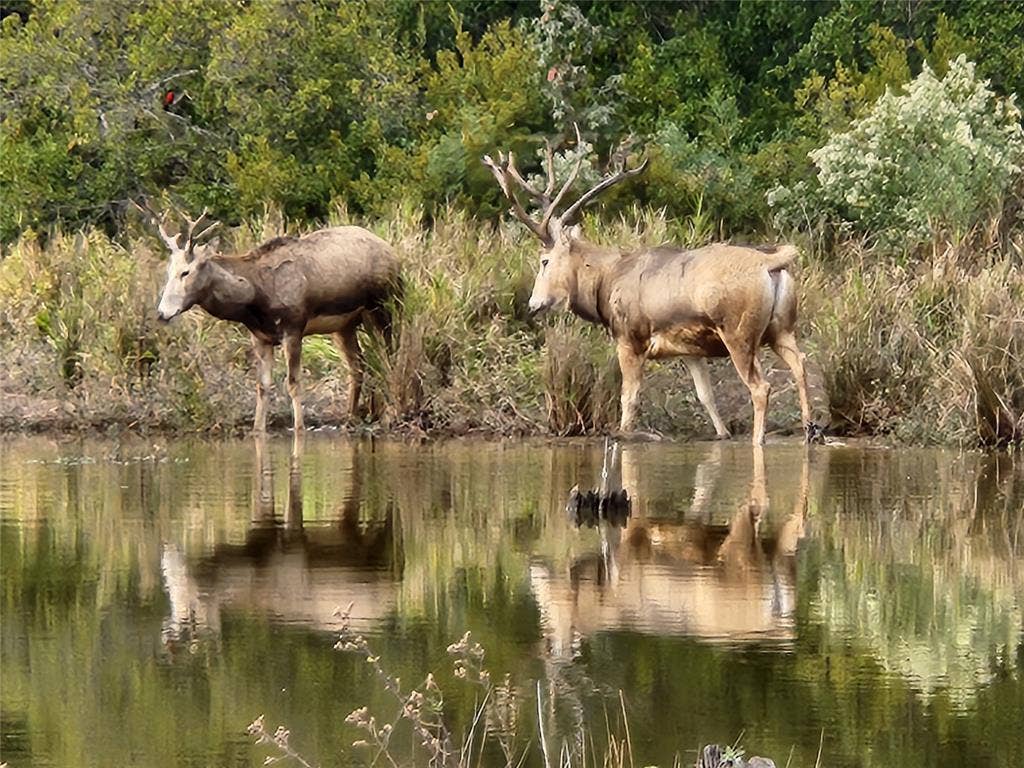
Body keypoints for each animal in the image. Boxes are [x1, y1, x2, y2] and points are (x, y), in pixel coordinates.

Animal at [141, 205, 402, 434]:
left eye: (186, 272)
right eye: (168, 271)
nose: (162, 312)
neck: (254, 299)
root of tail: (393, 253)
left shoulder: (293, 328)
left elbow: (293, 383)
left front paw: (299, 428)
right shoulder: (261, 337)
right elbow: (262, 386)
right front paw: (258, 430)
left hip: (384, 307)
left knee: (388, 358)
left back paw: (386, 412)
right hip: (344, 325)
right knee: (358, 365)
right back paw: (352, 416)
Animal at [483, 127, 813, 445]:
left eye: (544, 261)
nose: (533, 303)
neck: (604, 286)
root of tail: (772, 263)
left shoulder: (629, 338)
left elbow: (628, 401)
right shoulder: (689, 350)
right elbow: (706, 397)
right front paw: (722, 433)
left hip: (738, 331)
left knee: (761, 386)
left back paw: (760, 439)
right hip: (781, 328)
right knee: (800, 365)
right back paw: (809, 430)